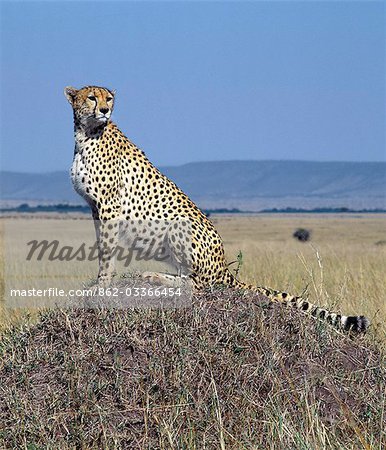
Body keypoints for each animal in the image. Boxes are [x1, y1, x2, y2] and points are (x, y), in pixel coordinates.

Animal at [65, 84, 370, 332]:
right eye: (92, 97)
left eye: (109, 98)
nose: (105, 110)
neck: (86, 134)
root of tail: (224, 265)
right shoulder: (95, 208)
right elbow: (103, 246)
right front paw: (101, 282)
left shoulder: (109, 207)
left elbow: (107, 251)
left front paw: (102, 285)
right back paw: (153, 275)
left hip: (181, 226)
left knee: (198, 285)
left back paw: (157, 278)